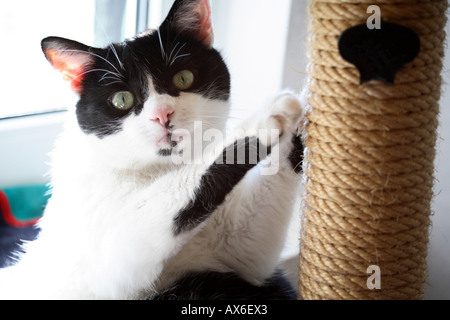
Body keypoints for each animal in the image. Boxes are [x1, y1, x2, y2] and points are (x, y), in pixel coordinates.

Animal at [0, 0, 306, 300]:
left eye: (183, 78)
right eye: (121, 99)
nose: (162, 114)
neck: (160, 168)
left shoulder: (237, 254)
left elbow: (248, 244)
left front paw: (306, 107)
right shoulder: (110, 256)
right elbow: (180, 189)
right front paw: (266, 116)